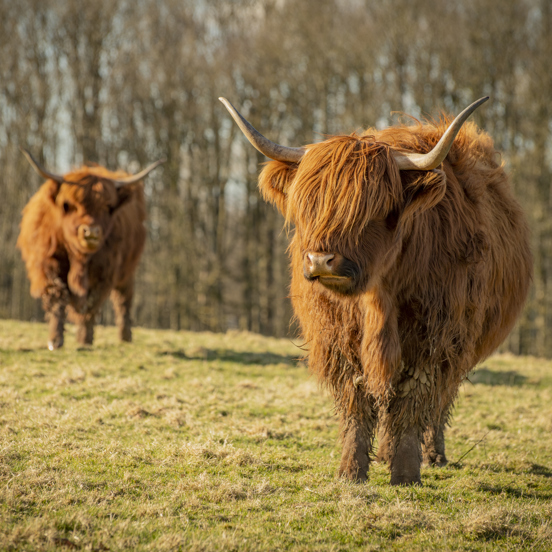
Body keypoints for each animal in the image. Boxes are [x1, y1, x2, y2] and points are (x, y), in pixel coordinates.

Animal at [17, 151, 163, 350]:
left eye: (108, 207)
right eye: (70, 205)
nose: (91, 232)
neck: (80, 258)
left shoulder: (105, 271)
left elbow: (91, 303)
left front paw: (85, 338)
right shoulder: (48, 264)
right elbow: (57, 296)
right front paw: (55, 340)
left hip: (127, 270)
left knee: (123, 299)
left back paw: (125, 336)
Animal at [221, 97, 536, 486]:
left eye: (375, 209)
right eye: (310, 204)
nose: (321, 260)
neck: (379, 297)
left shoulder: (434, 338)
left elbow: (414, 400)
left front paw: (406, 472)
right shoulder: (340, 338)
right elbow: (357, 402)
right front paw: (351, 471)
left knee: (438, 401)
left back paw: (433, 454)